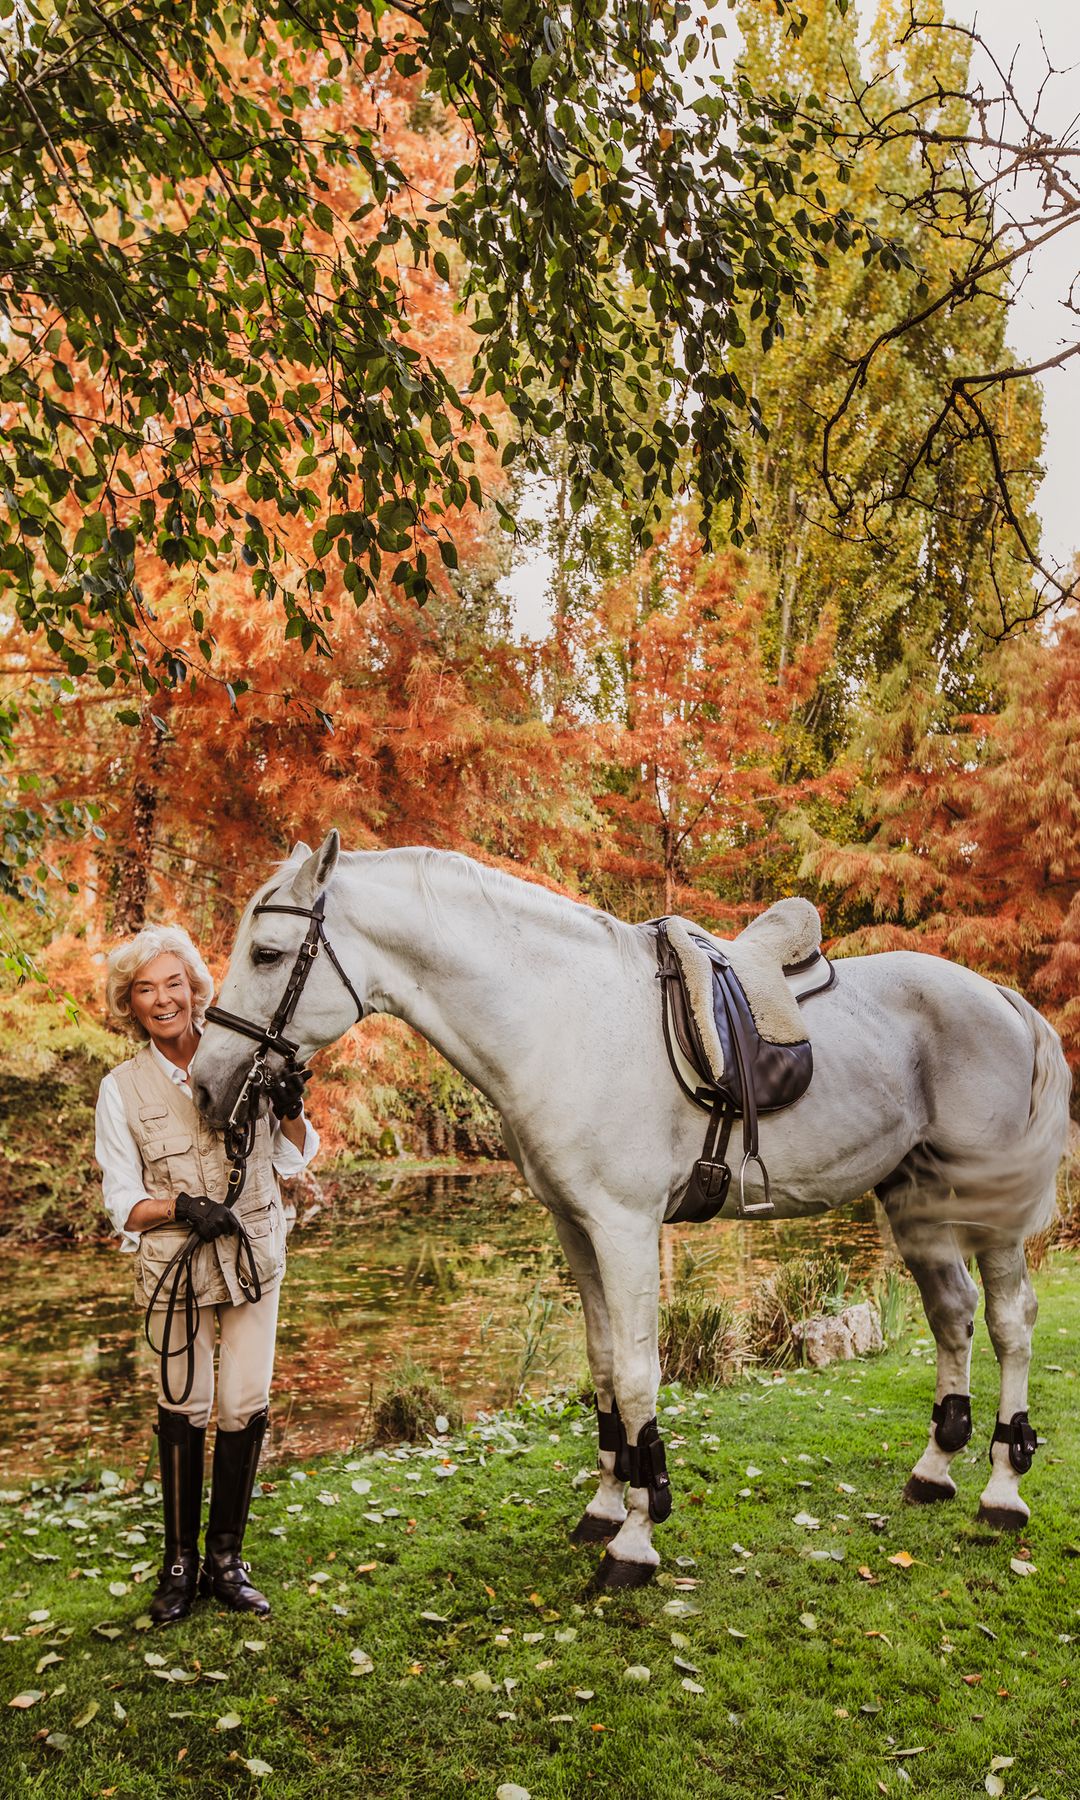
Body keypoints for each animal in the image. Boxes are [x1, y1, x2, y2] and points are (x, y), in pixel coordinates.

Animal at [191, 833, 1071, 1587]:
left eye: (267, 954)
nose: (204, 1083)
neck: (563, 1020)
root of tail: (1001, 996)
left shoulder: (625, 1228)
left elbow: (643, 1378)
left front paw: (638, 1540)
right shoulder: (576, 1228)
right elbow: (606, 1366)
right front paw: (607, 1507)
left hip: (989, 1215)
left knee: (1009, 1321)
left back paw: (1001, 1488)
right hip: (917, 1202)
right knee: (954, 1314)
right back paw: (934, 1469)